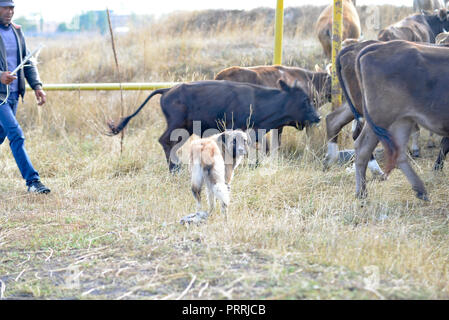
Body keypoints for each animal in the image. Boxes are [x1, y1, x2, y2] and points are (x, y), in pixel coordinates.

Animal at [108, 79, 318, 171]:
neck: (258, 100)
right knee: (165, 141)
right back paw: (175, 168)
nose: (317, 117)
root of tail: (167, 90)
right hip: (178, 125)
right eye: (305, 100)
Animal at [354, 40, 448, 200]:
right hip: (381, 118)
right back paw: (362, 194)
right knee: (362, 148)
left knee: (399, 152)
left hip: (402, 120)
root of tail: (382, 46)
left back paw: (420, 190)